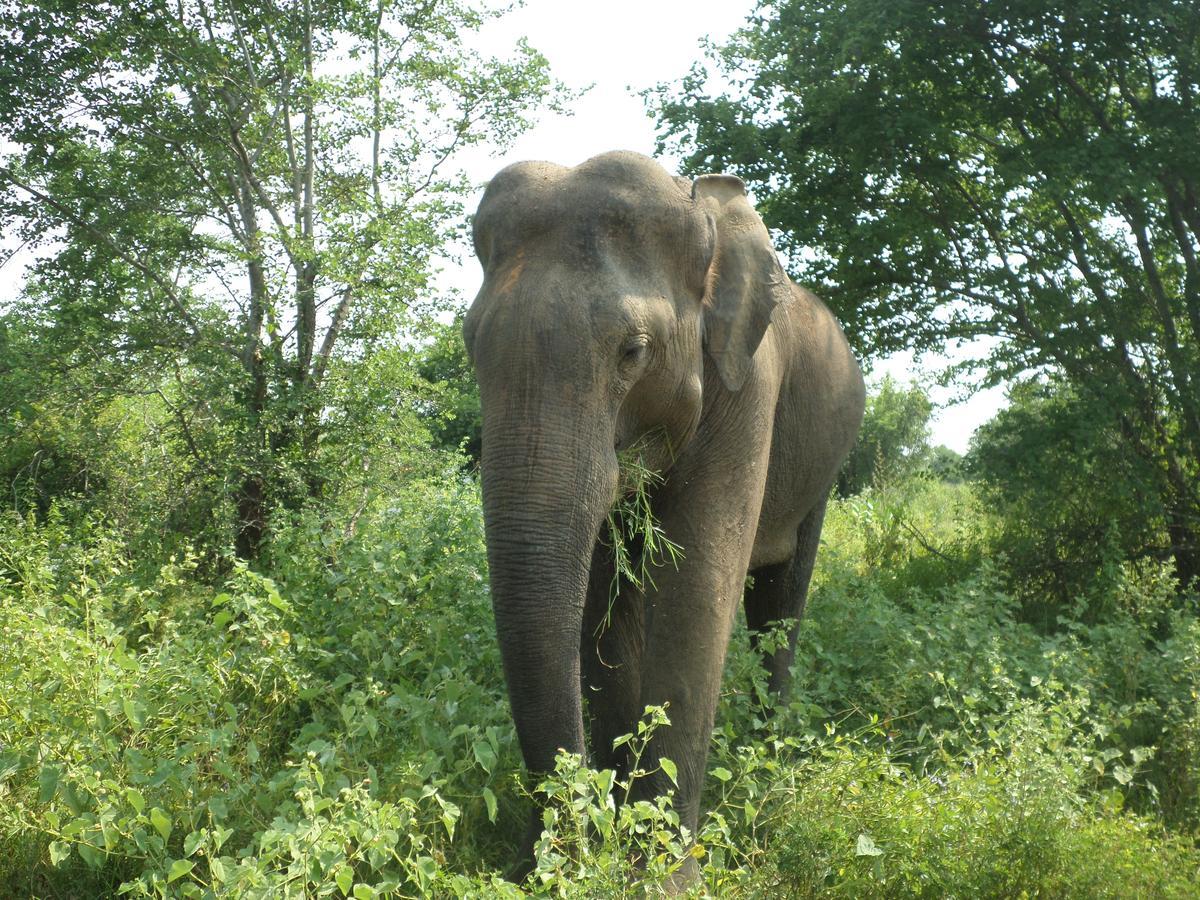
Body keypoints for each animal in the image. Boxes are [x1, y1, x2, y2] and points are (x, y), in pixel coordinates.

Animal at [463, 150, 868, 883]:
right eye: (469, 346)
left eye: (633, 352)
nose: (552, 856)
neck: (700, 209)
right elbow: (604, 598)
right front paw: (607, 836)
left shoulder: (749, 387)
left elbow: (697, 589)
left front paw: (662, 874)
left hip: (825, 465)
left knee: (782, 598)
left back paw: (770, 765)